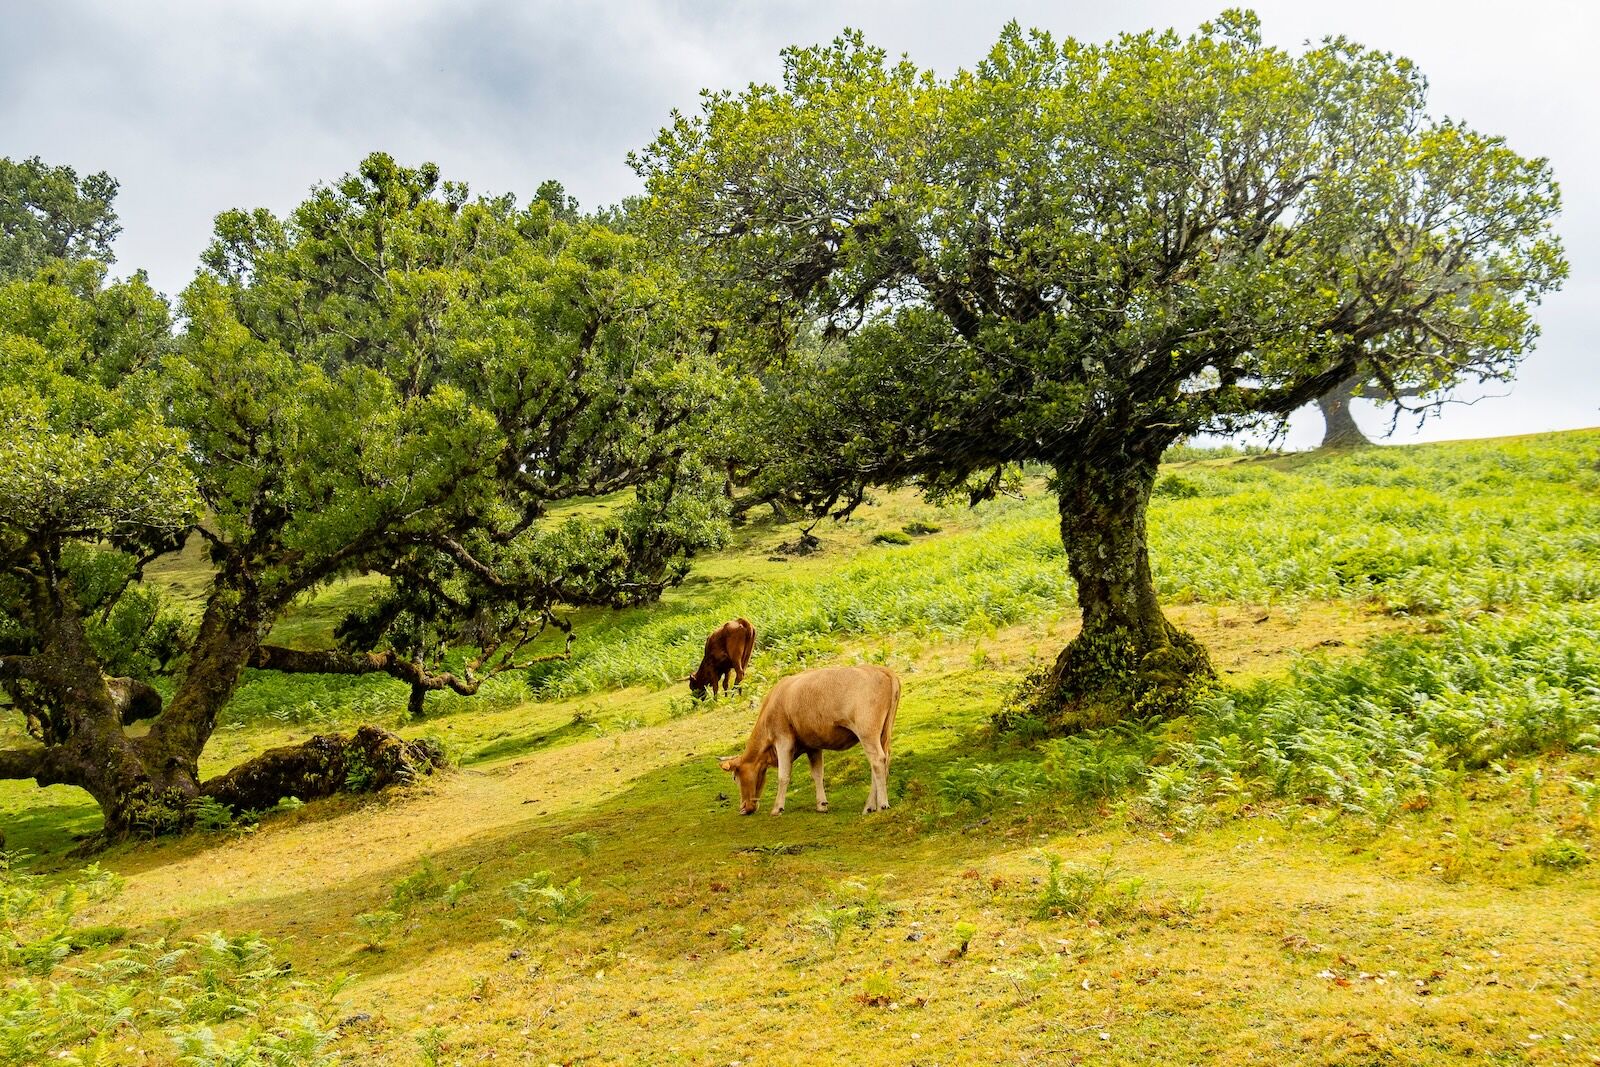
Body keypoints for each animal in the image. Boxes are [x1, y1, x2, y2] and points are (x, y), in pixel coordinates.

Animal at [717, 664, 900, 816]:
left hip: (867, 732)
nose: (743, 808)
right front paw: (821, 804)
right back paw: (869, 806)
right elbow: (818, 774)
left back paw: (882, 804)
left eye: (734, 778)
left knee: (877, 761)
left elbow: (783, 775)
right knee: (883, 761)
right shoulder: (813, 745)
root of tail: (882, 670)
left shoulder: (783, 739)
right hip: (883, 733)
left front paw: (777, 808)